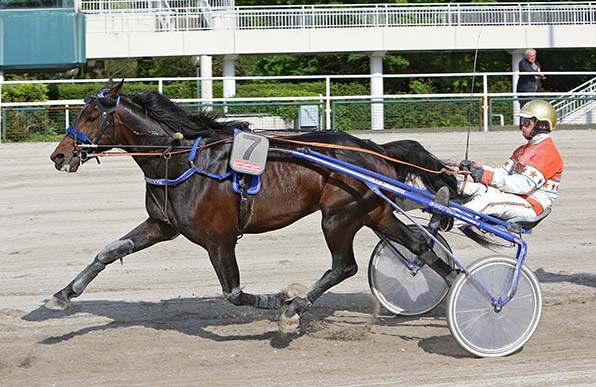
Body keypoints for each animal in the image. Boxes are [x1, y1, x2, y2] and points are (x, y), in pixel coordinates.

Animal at [47, 79, 456, 334]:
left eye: (92, 116)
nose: (59, 155)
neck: (181, 161)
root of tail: (375, 147)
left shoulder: (219, 239)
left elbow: (233, 292)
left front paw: (281, 299)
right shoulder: (162, 225)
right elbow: (108, 252)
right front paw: (63, 295)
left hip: (338, 217)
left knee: (345, 266)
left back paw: (294, 309)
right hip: (375, 214)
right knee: (421, 246)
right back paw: (457, 287)